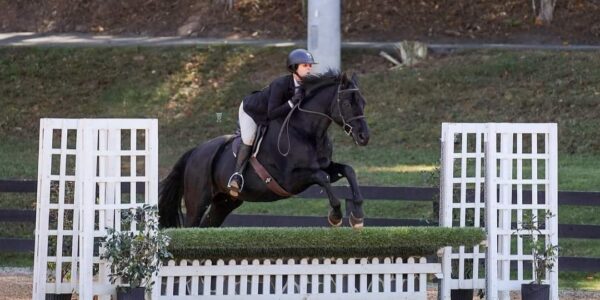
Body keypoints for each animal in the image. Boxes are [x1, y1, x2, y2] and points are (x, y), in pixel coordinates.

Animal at [157, 71, 368, 229]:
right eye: (347, 103)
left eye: (363, 103)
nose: (364, 137)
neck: (305, 131)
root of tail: (194, 152)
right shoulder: (290, 179)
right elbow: (322, 178)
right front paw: (336, 216)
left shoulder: (324, 166)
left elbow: (348, 170)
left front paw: (357, 215)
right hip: (198, 200)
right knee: (192, 224)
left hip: (224, 202)